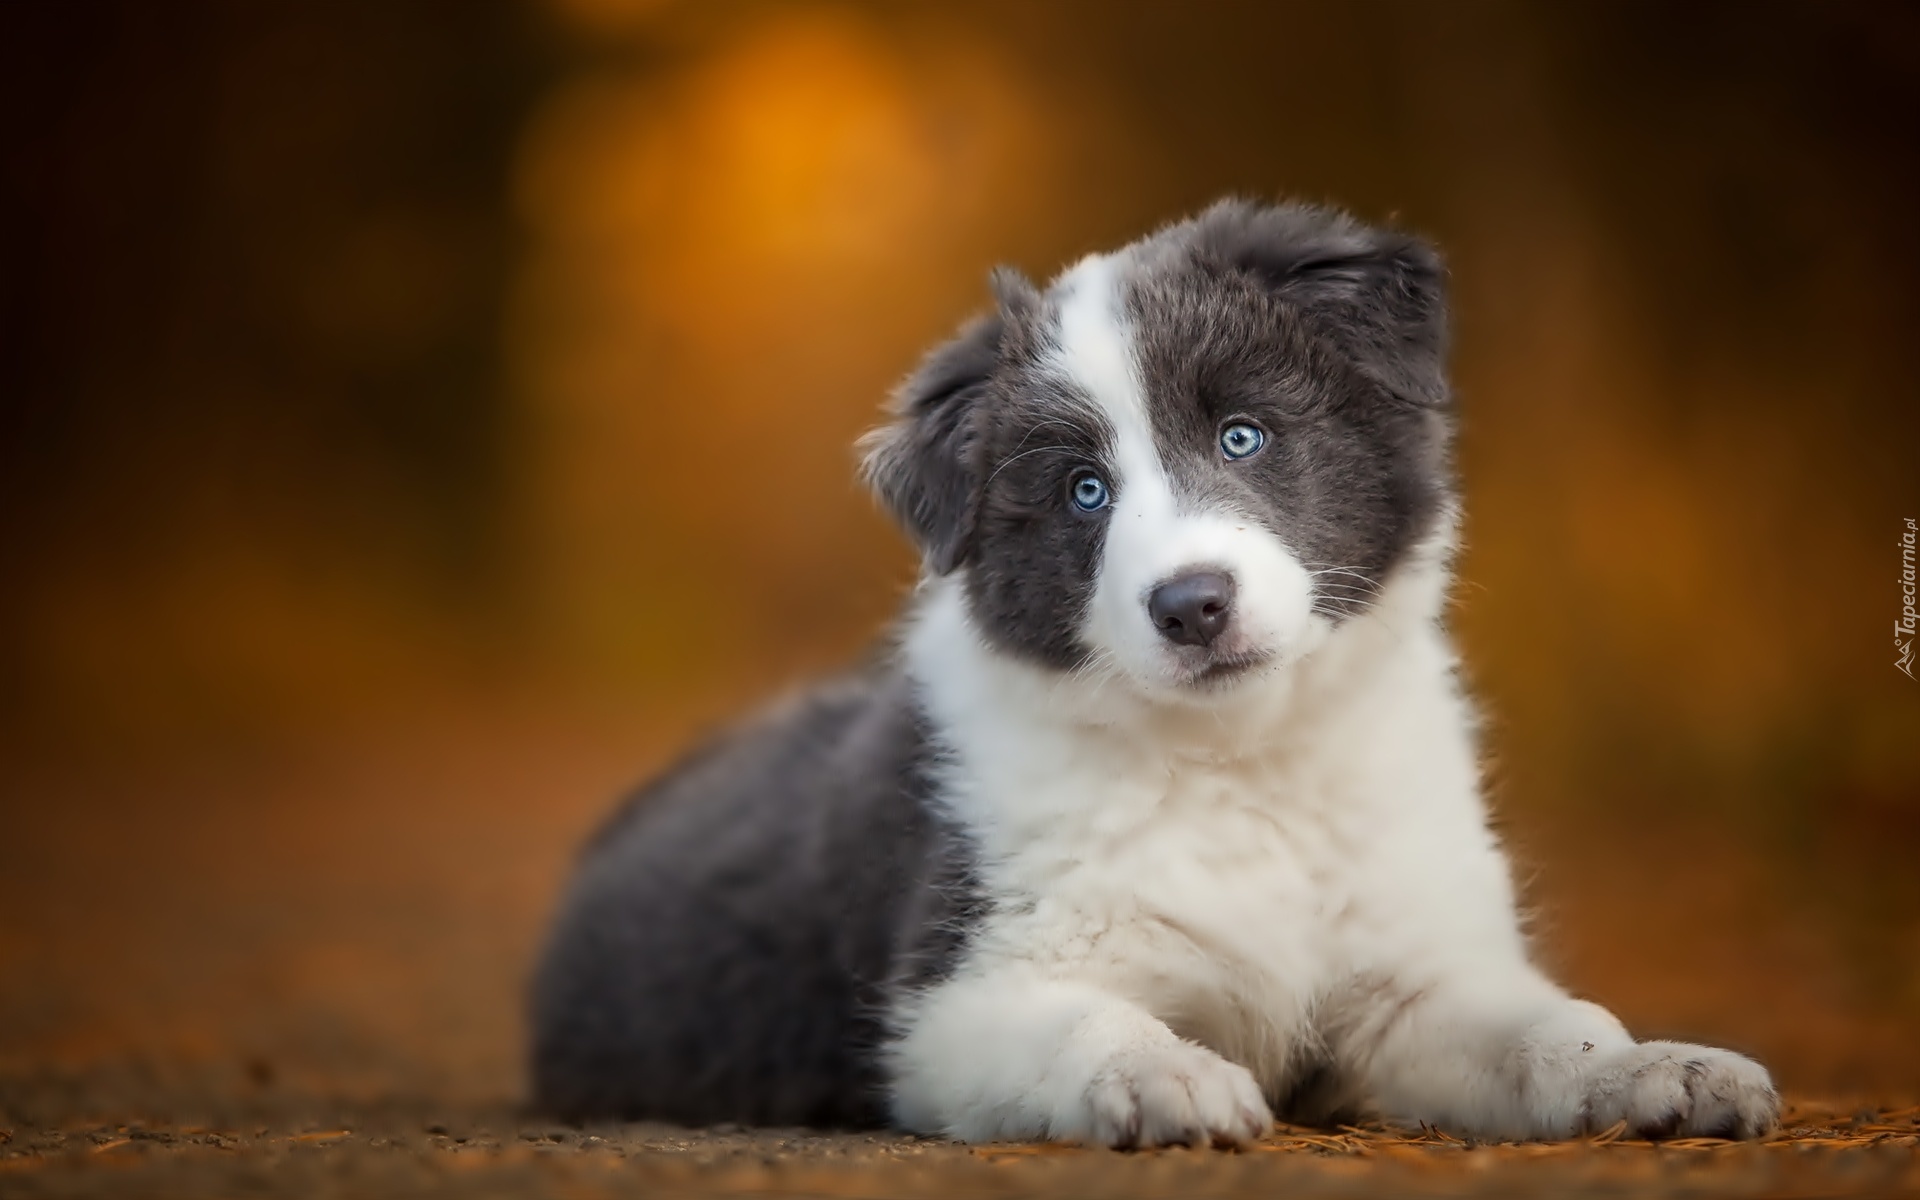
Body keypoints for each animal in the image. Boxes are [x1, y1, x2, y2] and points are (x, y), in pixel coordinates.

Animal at [529, 201, 1781, 1144]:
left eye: (1243, 436)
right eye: (1084, 491)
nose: (1191, 605)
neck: (1244, 763)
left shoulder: (1416, 974)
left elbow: (1551, 1028)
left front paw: (1657, 1071)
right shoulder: (962, 994)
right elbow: (1094, 1027)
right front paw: (1167, 1078)